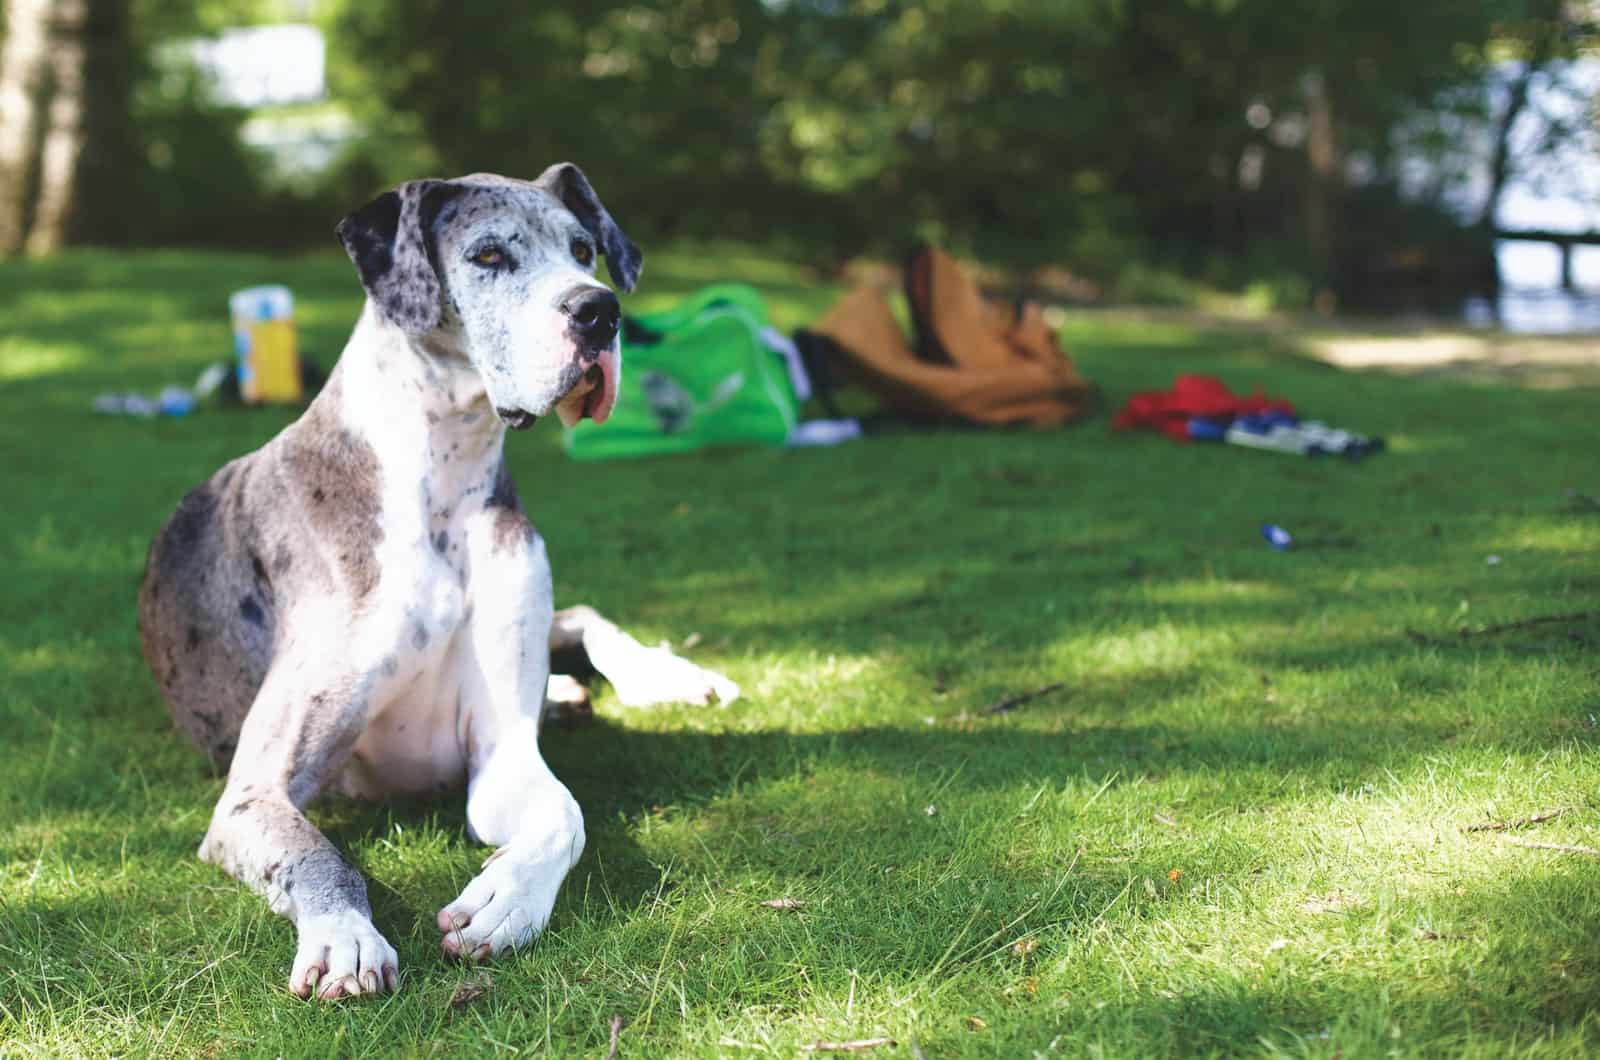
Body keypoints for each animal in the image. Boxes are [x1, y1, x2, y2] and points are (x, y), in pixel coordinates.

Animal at [137, 166, 736, 1005]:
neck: (442, 478)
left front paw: (507, 899)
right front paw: (344, 937)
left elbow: (565, 813)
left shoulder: (502, 754)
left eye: (584, 250)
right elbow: (319, 856)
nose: (599, 310)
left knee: (582, 616)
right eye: (487, 255)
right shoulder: (255, 793)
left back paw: (661, 676)